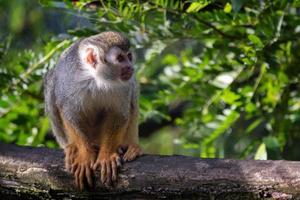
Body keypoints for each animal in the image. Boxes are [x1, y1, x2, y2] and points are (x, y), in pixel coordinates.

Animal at [44, 31, 144, 191]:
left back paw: (130, 146)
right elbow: (69, 112)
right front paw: (84, 155)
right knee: (51, 80)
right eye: (120, 58)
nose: (130, 67)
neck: (95, 79)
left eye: (129, 56)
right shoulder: (68, 80)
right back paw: (71, 147)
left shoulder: (123, 85)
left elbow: (119, 114)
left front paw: (107, 155)